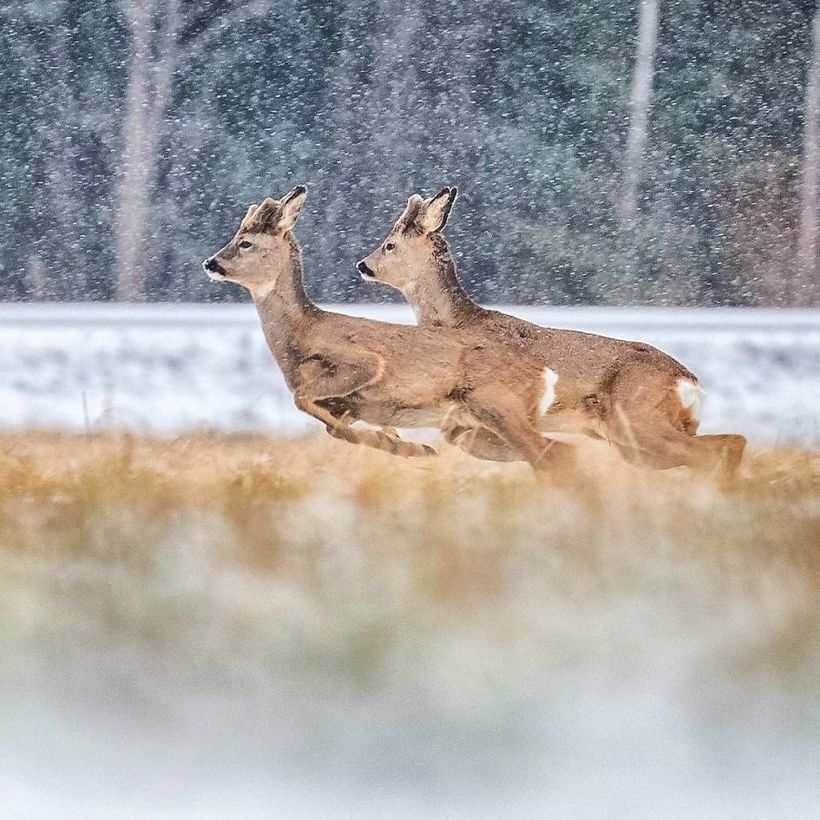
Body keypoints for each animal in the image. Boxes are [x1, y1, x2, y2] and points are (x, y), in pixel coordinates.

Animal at [202, 184, 580, 468]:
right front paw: (401, 444)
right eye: (235, 236)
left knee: (555, 453)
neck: (302, 334)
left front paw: (407, 446)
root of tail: (543, 371)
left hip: (498, 406)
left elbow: (303, 398)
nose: (210, 262)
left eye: (245, 242)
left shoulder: (363, 362)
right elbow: (331, 427)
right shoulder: (348, 406)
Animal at [356, 188, 748, 478]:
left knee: (726, 444)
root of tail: (689, 383)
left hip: (639, 421)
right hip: (635, 442)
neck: (458, 322)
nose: (362, 265)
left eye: (389, 244)